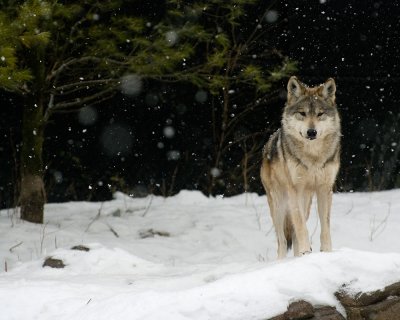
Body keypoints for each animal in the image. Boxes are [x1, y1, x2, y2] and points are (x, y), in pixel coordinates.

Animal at [260, 76, 340, 258]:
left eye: (320, 114)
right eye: (302, 113)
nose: (311, 132)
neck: (313, 157)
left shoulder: (325, 189)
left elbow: (325, 227)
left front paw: (326, 252)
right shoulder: (295, 190)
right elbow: (301, 228)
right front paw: (305, 250)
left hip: (307, 202)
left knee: (294, 235)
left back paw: (298, 258)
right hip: (279, 205)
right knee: (282, 241)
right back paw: (283, 261)